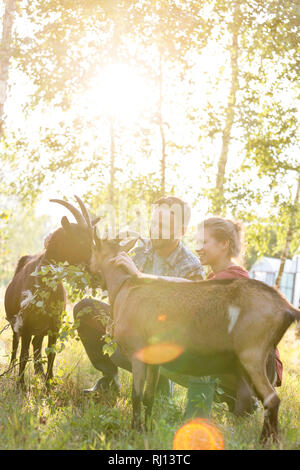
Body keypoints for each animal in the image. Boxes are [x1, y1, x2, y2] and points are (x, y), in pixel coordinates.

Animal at [4, 196, 98, 390]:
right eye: (80, 240)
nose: (94, 269)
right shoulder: (26, 324)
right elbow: (24, 354)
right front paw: (21, 385)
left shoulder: (55, 324)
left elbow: (51, 353)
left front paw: (48, 385)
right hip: (16, 322)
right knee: (17, 345)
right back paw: (11, 371)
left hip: (41, 327)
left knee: (37, 344)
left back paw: (40, 373)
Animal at [91, 235, 300, 444]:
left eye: (93, 249)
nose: (92, 272)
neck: (125, 289)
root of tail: (287, 309)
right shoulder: (154, 357)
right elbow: (148, 396)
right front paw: (148, 430)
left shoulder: (137, 351)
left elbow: (136, 395)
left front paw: (135, 432)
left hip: (252, 354)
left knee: (271, 398)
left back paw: (266, 442)